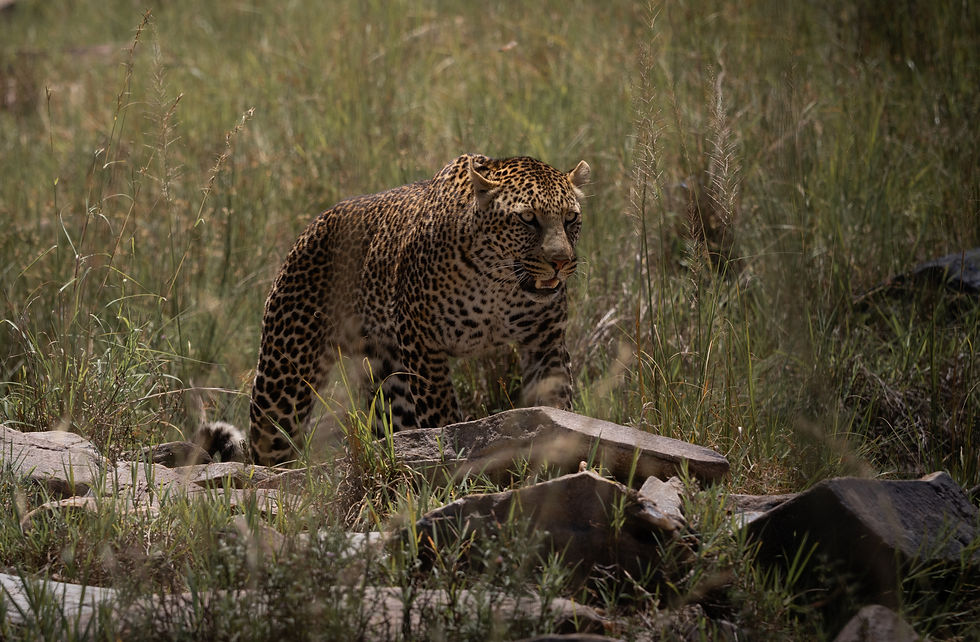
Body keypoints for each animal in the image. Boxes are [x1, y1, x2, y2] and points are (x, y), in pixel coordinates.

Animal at [233, 154, 590, 466]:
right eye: (527, 219)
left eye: (570, 218)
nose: (561, 262)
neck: (499, 284)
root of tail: (309, 228)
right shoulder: (424, 345)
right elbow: (442, 418)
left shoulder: (545, 342)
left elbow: (556, 403)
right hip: (284, 378)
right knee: (267, 445)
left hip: (389, 381)